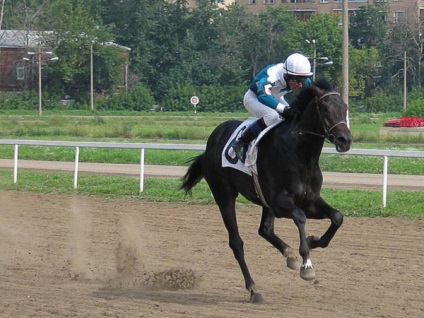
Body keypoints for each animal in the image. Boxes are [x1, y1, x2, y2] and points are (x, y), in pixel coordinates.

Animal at [181, 79, 352, 304]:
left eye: (345, 107)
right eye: (324, 108)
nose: (345, 140)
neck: (301, 154)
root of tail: (211, 142)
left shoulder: (309, 200)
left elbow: (337, 217)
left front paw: (313, 241)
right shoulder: (281, 203)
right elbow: (300, 217)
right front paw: (306, 264)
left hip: (263, 200)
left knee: (265, 229)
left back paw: (289, 255)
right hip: (224, 195)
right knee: (236, 243)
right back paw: (254, 289)